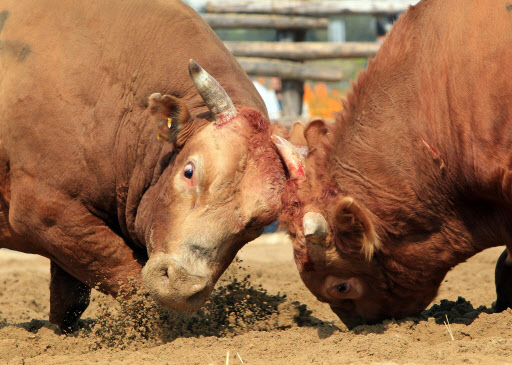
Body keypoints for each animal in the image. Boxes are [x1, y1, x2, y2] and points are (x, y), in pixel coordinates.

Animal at [0, 0, 286, 330]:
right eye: (189, 171)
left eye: (258, 224)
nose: (182, 286)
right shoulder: (44, 211)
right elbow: (126, 277)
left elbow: (71, 298)